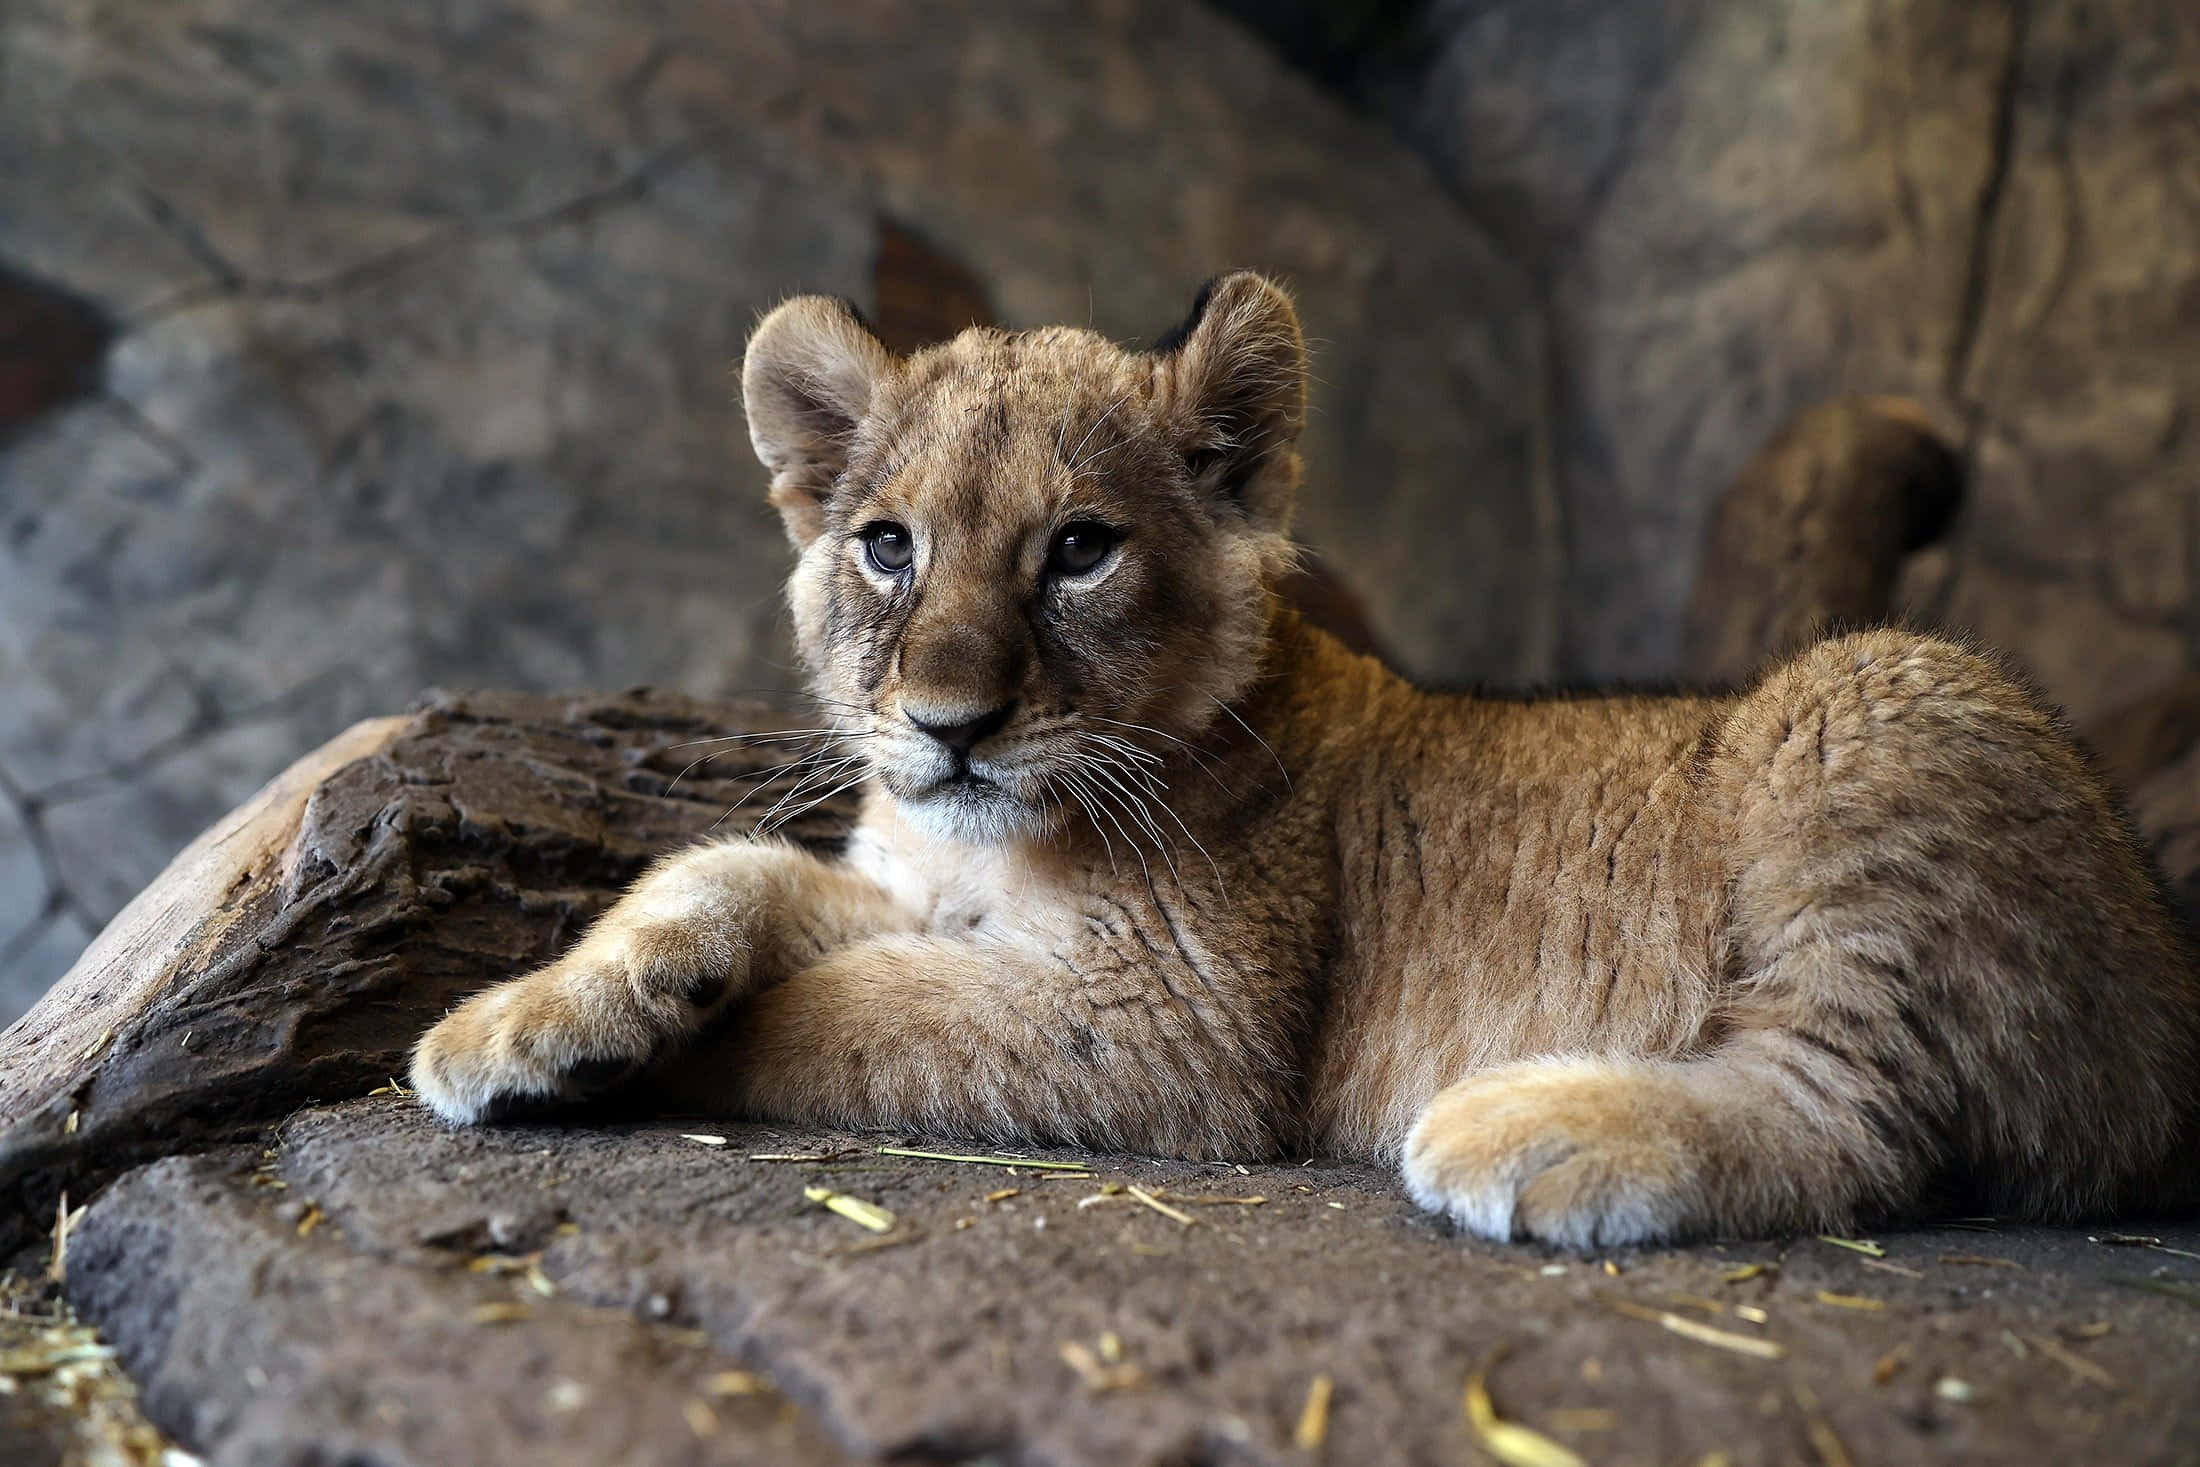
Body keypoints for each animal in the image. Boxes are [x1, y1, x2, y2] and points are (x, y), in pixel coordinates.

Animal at [411, 271, 2200, 1246]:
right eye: (887, 546)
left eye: (1080, 550)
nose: (948, 721)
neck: (993, 837)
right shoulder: (924, 889)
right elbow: (735, 866)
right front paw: (531, 1018)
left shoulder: (1184, 1031)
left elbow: (847, 1009)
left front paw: (653, 1053)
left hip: (1884, 689)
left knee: (1867, 1116)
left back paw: (1533, 1126)